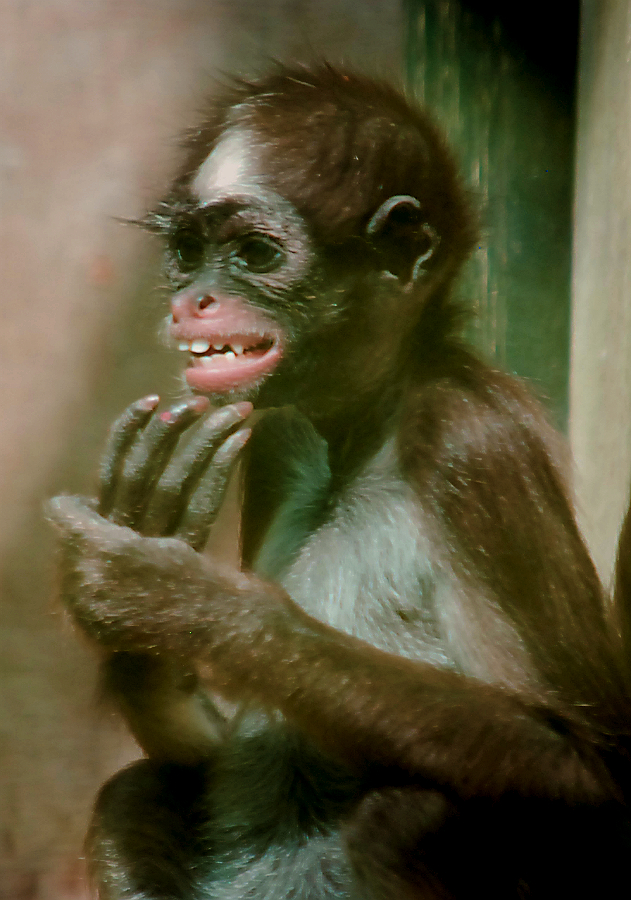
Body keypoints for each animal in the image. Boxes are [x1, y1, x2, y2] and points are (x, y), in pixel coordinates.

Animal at [48, 63, 631, 899]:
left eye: (254, 253)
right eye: (187, 251)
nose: (192, 299)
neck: (361, 431)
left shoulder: (467, 439)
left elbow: (589, 766)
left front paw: (198, 608)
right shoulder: (279, 439)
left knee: (408, 816)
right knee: (133, 793)